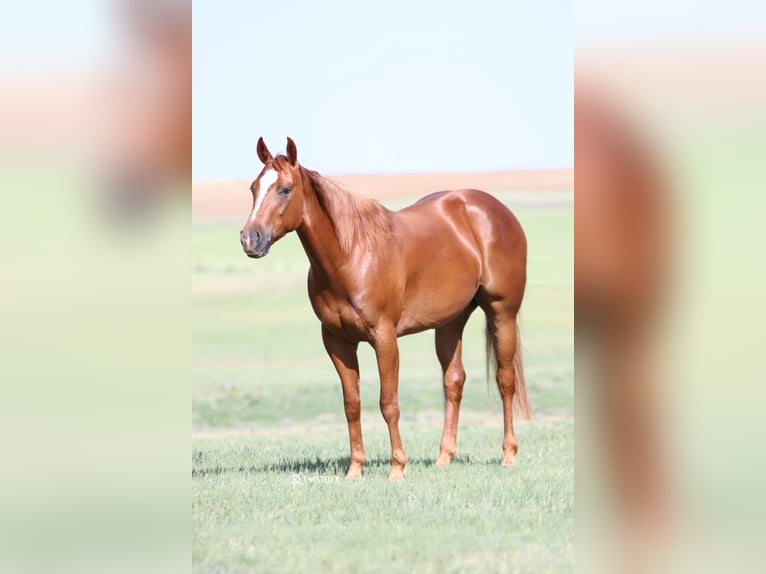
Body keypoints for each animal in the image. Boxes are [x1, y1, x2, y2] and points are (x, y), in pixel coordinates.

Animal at [240, 138, 528, 482]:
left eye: (285, 189)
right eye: (254, 188)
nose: (250, 238)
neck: (351, 255)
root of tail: (495, 209)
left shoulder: (385, 338)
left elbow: (388, 403)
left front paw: (397, 469)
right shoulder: (337, 341)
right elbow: (352, 403)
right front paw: (355, 469)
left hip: (502, 312)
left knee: (505, 379)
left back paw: (509, 455)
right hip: (450, 321)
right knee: (453, 381)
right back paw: (444, 457)